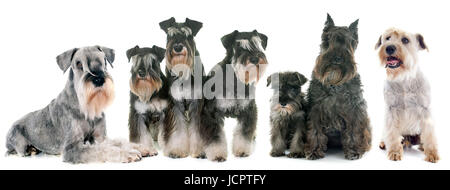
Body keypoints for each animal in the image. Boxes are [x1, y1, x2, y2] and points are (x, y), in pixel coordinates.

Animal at [5, 45, 146, 163]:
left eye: (104, 61)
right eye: (79, 64)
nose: (98, 79)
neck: (87, 108)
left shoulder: (101, 138)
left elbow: (118, 142)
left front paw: (140, 147)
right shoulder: (72, 149)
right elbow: (101, 150)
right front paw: (128, 153)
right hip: (17, 141)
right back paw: (31, 150)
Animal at [157, 17, 207, 158]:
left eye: (187, 35)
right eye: (170, 35)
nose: (178, 47)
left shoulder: (197, 103)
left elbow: (197, 129)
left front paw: (200, 151)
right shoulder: (175, 103)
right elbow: (177, 129)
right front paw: (176, 150)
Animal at [200, 30, 268, 161]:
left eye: (257, 43)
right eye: (238, 46)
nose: (255, 59)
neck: (236, 80)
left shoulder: (248, 110)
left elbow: (244, 133)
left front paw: (242, 150)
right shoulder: (211, 113)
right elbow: (215, 136)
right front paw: (217, 154)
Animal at [304, 13, 370, 160]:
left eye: (349, 42)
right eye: (327, 39)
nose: (337, 58)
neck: (335, 83)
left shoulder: (354, 109)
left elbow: (353, 131)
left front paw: (353, 151)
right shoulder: (315, 109)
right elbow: (315, 131)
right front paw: (314, 151)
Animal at [376, 27, 440, 163]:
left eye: (405, 40)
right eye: (387, 38)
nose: (389, 48)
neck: (404, 78)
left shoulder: (425, 110)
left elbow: (429, 134)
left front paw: (431, 153)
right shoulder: (392, 110)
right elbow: (392, 132)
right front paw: (394, 151)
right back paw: (384, 143)